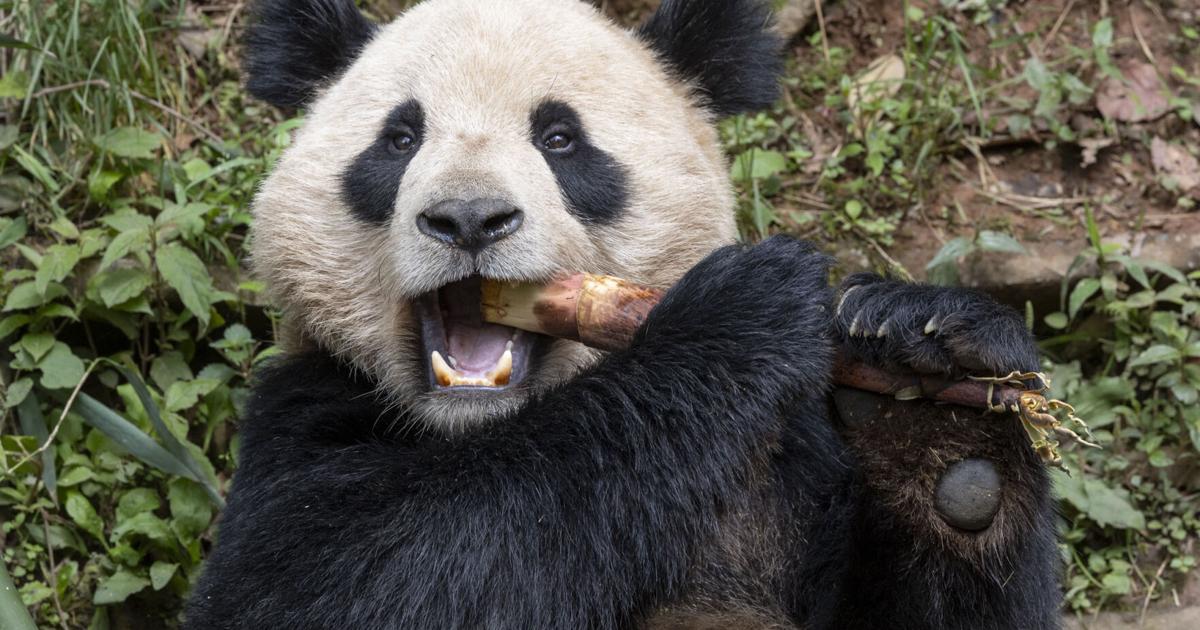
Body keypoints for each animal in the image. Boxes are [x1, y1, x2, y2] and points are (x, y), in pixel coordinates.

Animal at [185, 0, 1061, 628]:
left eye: (561, 139)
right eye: (399, 140)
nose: (468, 219)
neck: (482, 430)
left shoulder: (793, 464)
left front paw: (931, 387)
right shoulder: (305, 409)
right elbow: (357, 583)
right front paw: (739, 314)